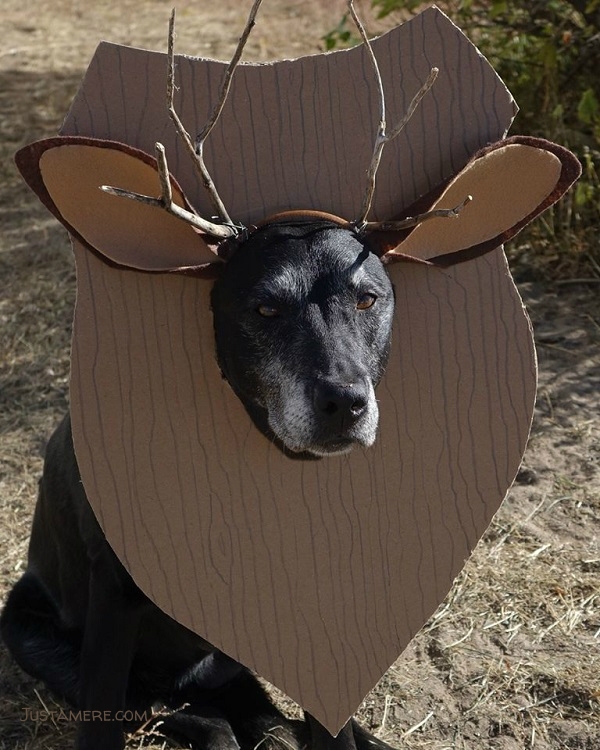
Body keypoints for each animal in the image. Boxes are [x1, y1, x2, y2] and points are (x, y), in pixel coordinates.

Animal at [1, 220, 398, 750]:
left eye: (366, 301)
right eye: (265, 309)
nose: (345, 403)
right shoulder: (115, 591)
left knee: (258, 711)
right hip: (30, 631)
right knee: (180, 712)